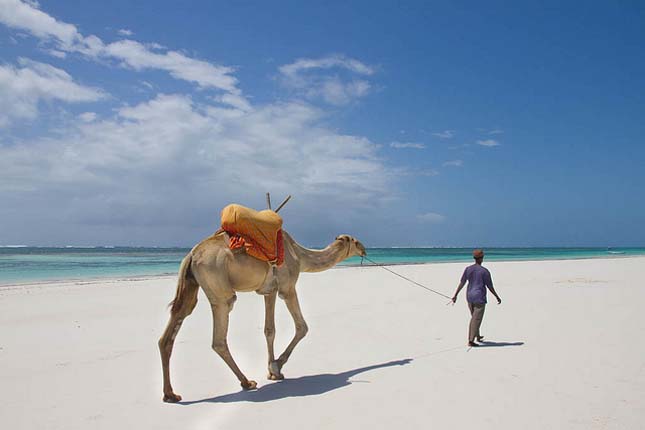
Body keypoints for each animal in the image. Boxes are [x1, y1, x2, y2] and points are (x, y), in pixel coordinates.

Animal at [158, 230, 364, 402]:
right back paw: (247, 382)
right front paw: (276, 366)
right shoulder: (287, 287)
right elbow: (302, 327)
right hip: (219, 288)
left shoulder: (269, 291)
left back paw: (170, 395)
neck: (299, 255)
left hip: (190, 285)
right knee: (219, 337)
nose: (363, 248)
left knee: (172, 327)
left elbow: (269, 330)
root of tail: (191, 255)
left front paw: (273, 372)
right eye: (354, 240)